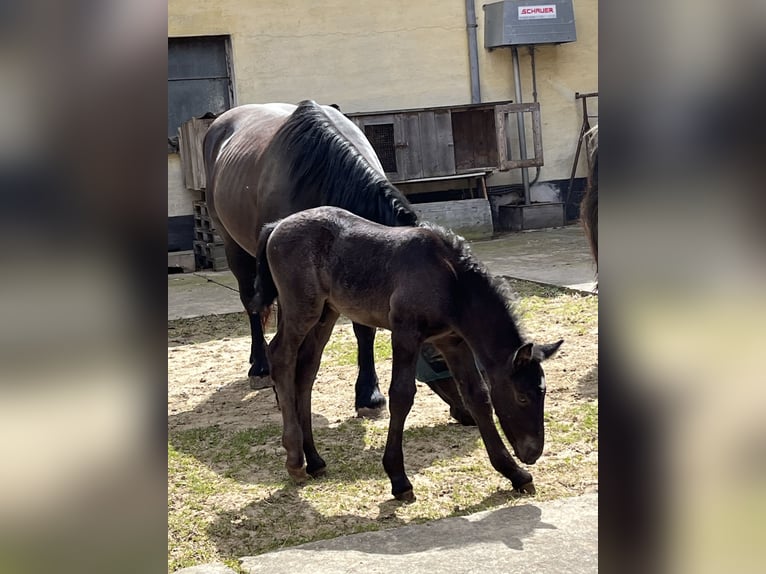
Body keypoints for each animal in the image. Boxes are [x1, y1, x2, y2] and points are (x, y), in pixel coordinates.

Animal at [256, 208, 564, 504]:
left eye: (543, 393)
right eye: (522, 397)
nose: (533, 452)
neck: (449, 280)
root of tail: (276, 226)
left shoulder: (452, 341)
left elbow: (478, 396)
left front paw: (515, 474)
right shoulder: (405, 334)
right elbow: (402, 396)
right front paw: (398, 479)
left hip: (326, 312)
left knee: (306, 371)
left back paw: (314, 459)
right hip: (302, 308)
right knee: (281, 357)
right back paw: (295, 460)